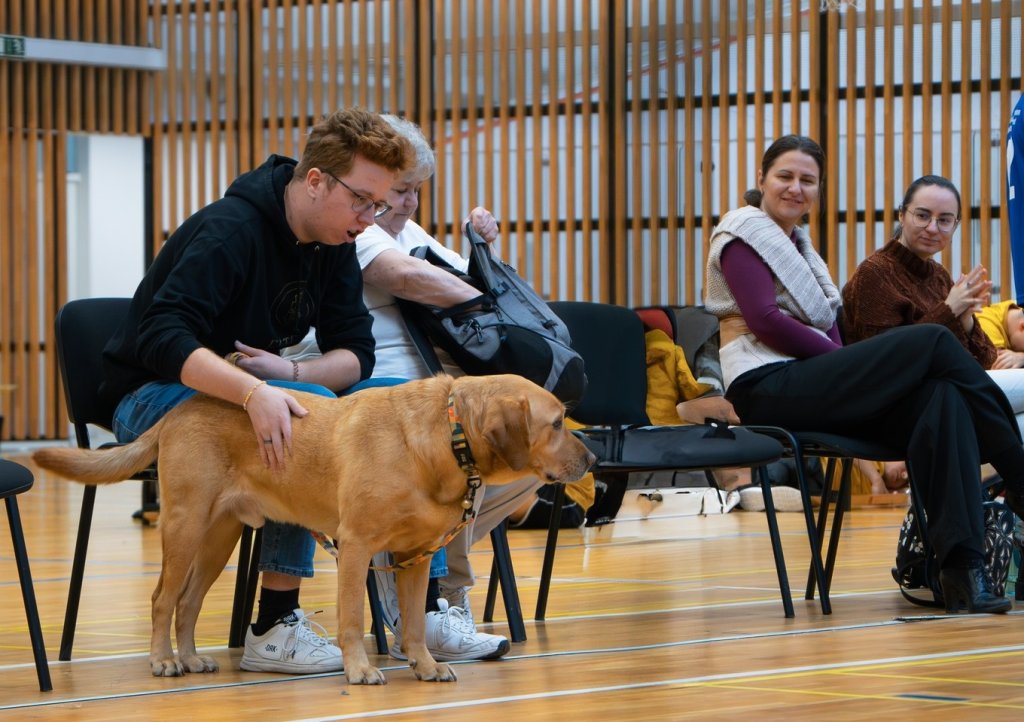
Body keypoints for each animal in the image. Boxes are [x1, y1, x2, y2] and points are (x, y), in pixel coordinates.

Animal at [34, 374, 593, 684]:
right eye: (557, 423)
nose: (592, 459)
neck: (447, 434)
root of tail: (182, 407)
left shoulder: (412, 557)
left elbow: (414, 624)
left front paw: (425, 665)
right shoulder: (357, 547)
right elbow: (351, 619)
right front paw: (360, 670)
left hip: (220, 538)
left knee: (187, 603)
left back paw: (190, 658)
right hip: (185, 525)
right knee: (161, 599)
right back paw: (162, 662)